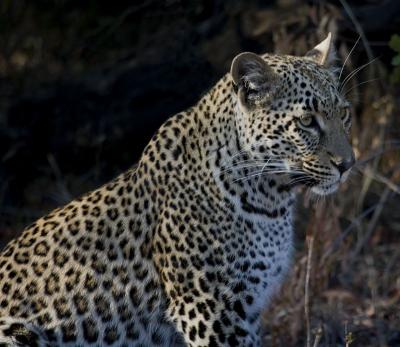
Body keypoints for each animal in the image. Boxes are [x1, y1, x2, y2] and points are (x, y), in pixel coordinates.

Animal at [1, 33, 354, 347]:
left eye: (344, 113)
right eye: (307, 121)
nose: (348, 164)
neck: (270, 199)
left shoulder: (247, 310)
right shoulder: (210, 309)